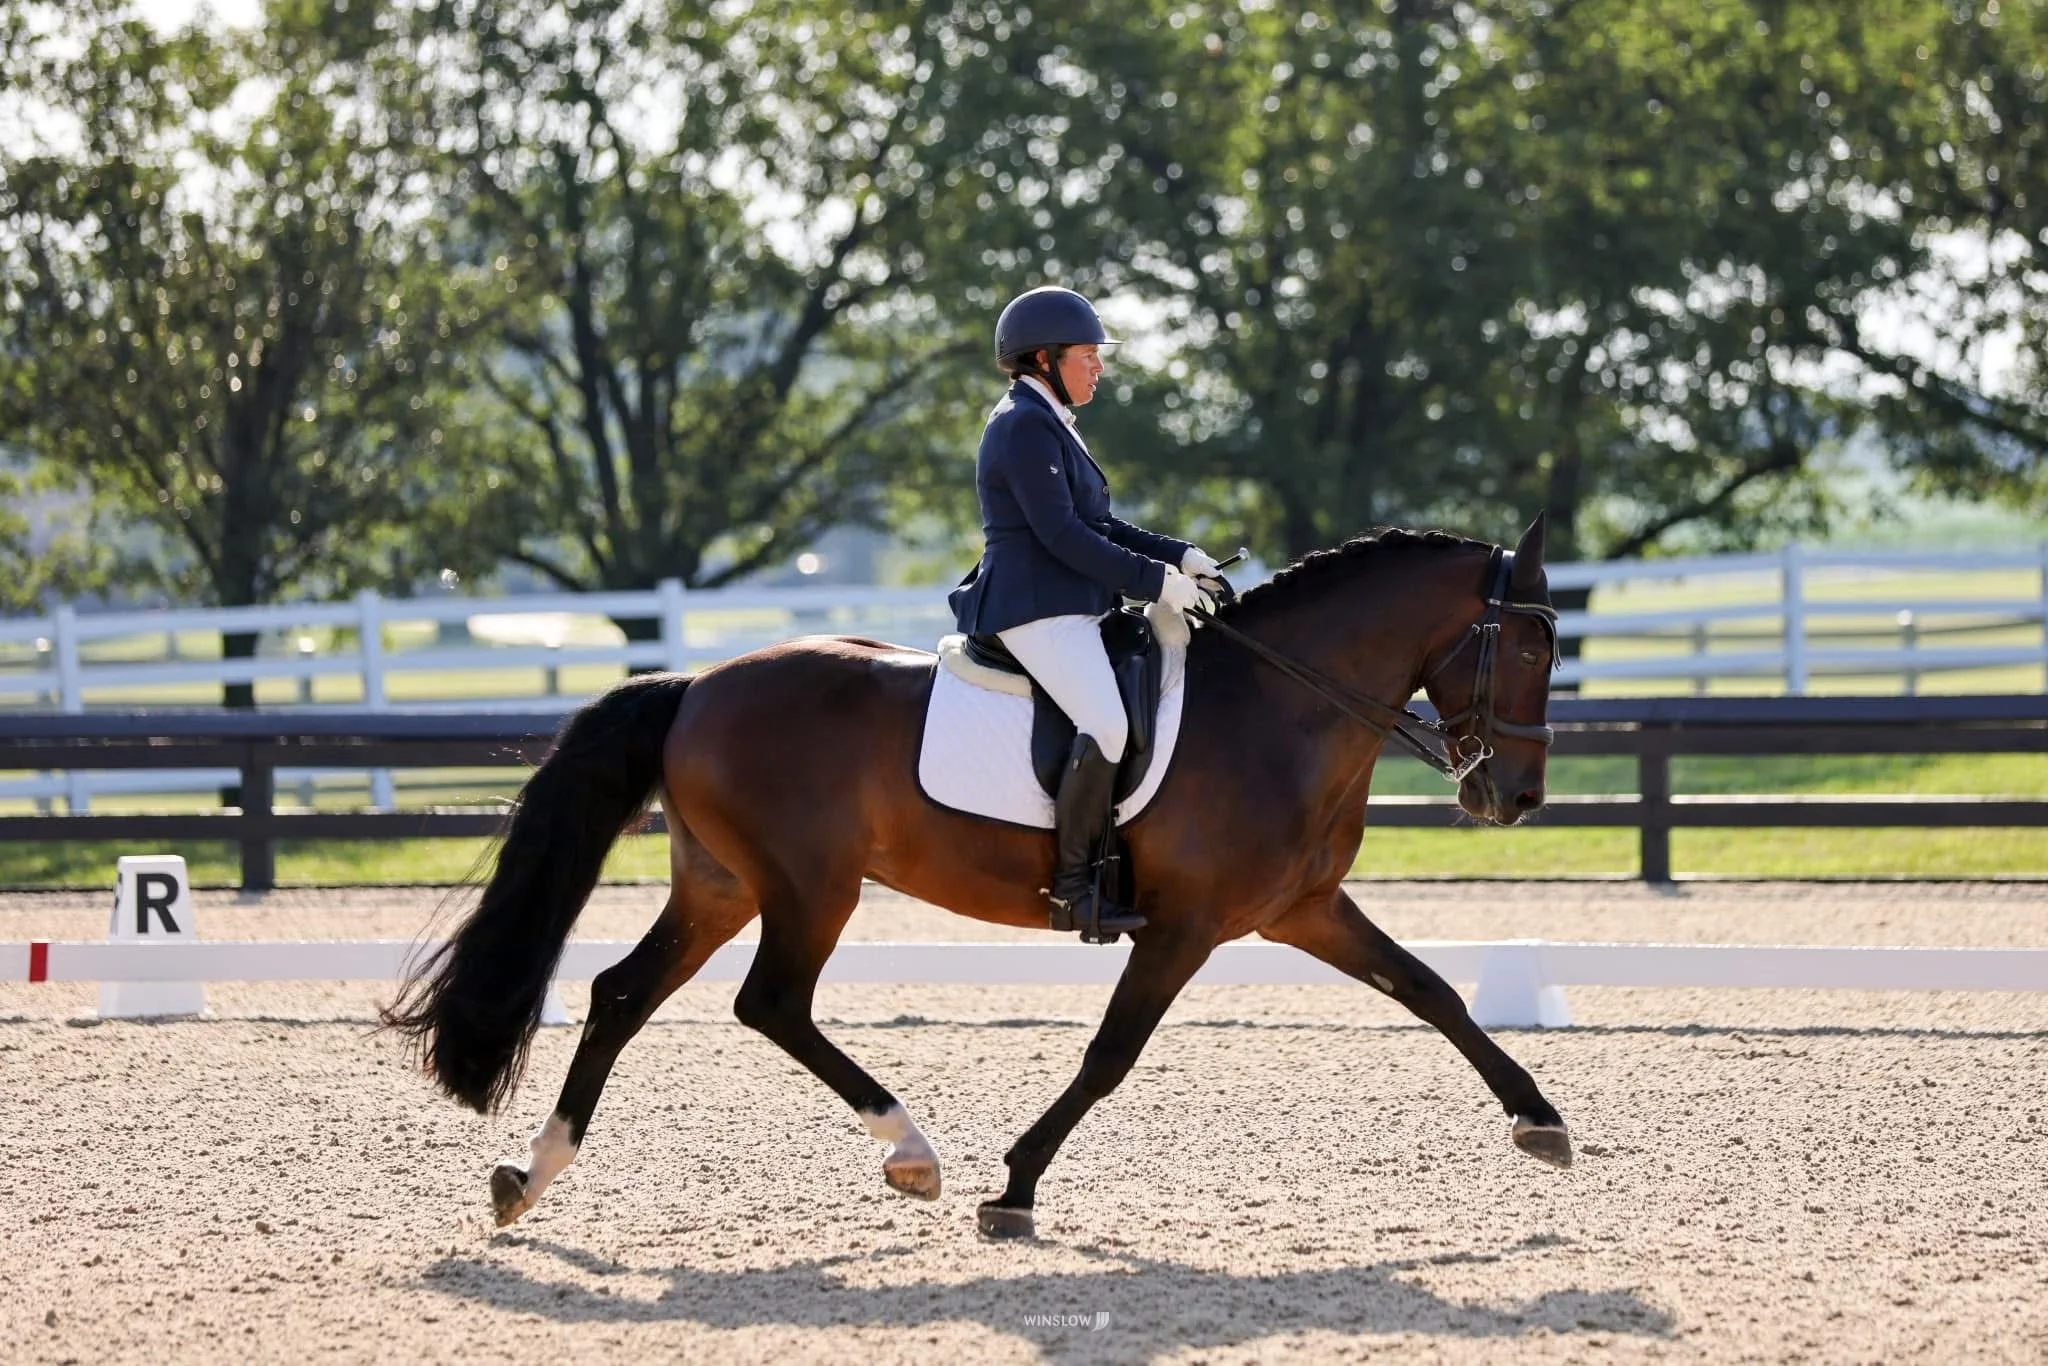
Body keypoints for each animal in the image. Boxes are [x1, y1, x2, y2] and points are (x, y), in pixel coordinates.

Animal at [384, 515, 1572, 1239]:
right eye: (1525, 649)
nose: (1511, 798)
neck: (1279, 710)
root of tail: (695, 686)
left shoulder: (1302, 910)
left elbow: (1432, 990)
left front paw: (1539, 1120)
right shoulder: (1183, 926)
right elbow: (1108, 1055)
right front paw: (1015, 1184)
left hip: (721, 883)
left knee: (622, 993)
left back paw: (529, 1175)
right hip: (809, 886)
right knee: (771, 1002)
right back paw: (913, 1152)